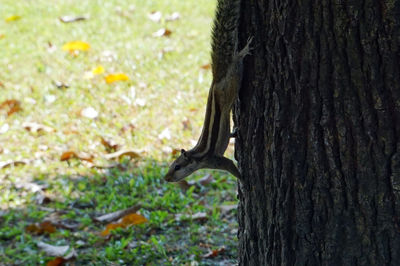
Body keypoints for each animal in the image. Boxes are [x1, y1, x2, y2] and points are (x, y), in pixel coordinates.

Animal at [163, 0, 252, 182]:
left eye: (177, 167)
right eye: (170, 165)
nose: (166, 178)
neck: (197, 157)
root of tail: (215, 80)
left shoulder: (216, 160)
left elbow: (231, 166)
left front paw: (243, 179)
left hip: (230, 86)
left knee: (235, 66)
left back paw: (242, 52)